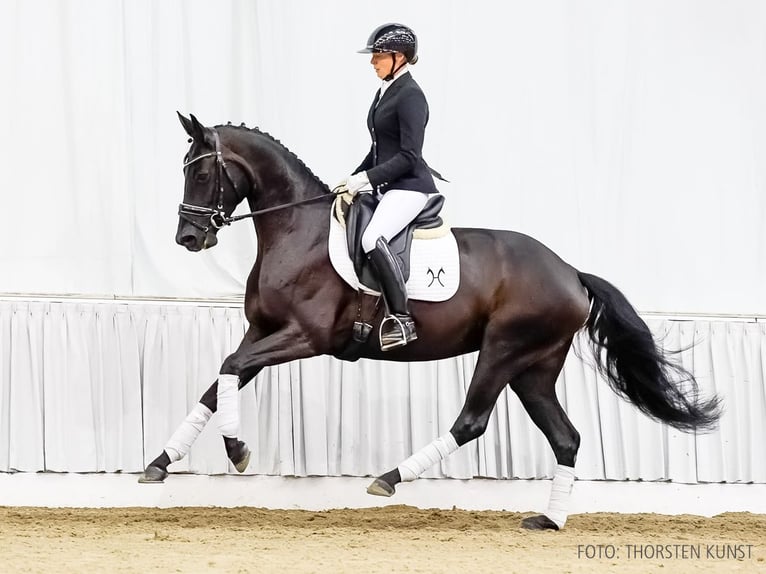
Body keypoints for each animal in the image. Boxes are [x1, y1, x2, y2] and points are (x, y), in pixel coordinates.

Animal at [141, 115, 724, 532]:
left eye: (200, 171)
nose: (188, 238)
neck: (296, 230)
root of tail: (570, 273)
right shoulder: (263, 333)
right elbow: (220, 380)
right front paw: (161, 462)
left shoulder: (304, 337)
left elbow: (228, 367)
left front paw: (236, 451)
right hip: (534, 368)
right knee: (566, 438)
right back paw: (549, 520)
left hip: (504, 350)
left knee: (472, 421)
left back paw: (389, 478)